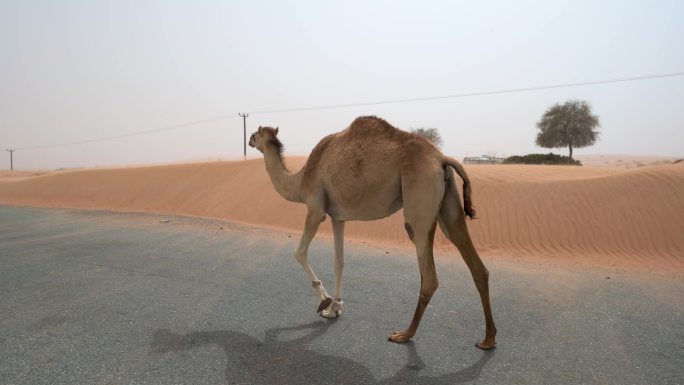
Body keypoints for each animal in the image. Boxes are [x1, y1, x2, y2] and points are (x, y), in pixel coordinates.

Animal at [248, 115, 494, 348]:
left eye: (254, 134)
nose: (249, 140)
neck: (300, 180)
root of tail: (441, 158)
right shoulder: (338, 217)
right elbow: (339, 262)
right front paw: (334, 308)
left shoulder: (315, 209)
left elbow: (299, 253)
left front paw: (323, 301)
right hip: (448, 202)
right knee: (476, 265)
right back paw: (488, 340)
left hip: (419, 200)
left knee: (429, 276)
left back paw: (404, 334)